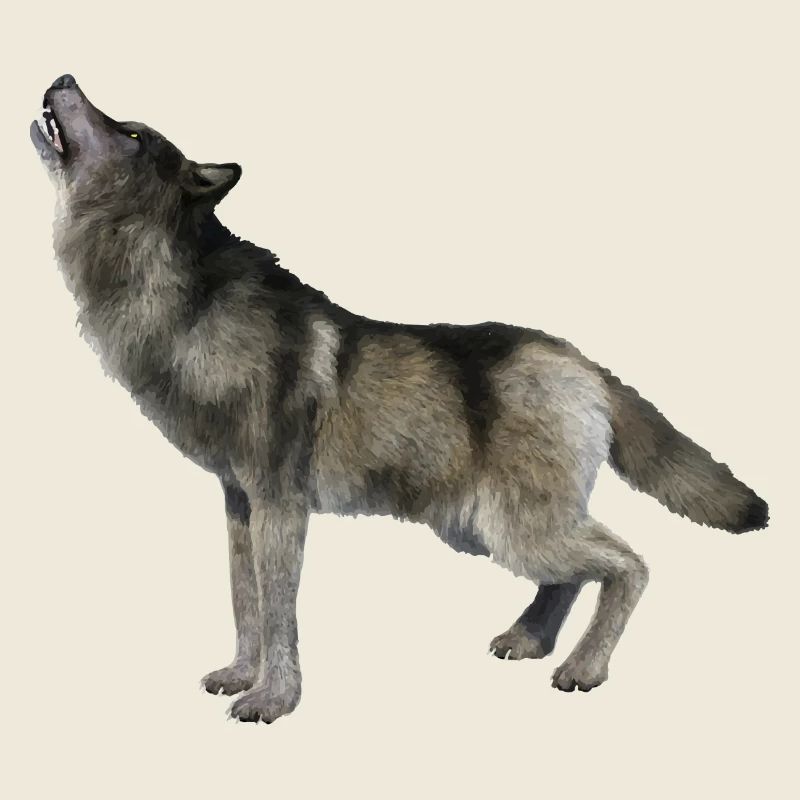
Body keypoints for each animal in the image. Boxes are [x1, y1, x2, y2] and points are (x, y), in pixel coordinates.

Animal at [31, 74, 768, 724]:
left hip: (513, 529)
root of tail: (579, 360)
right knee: (575, 575)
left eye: (131, 132)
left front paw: (274, 700)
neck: (182, 298)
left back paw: (583, 668)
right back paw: (529, 641)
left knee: (630, 564)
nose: (63, 78)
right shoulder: (239, 504)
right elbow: (246, 605)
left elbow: (278, 613)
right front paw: (242, 675)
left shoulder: (280, 506)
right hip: (486, 529)